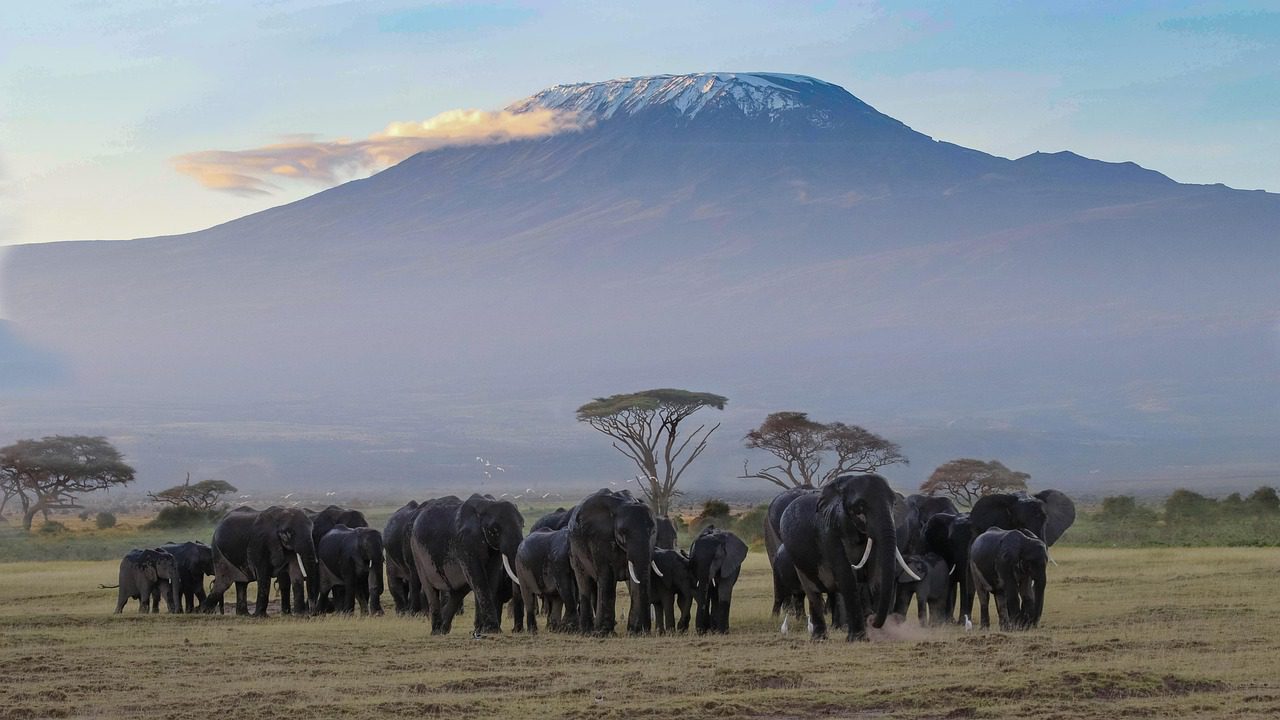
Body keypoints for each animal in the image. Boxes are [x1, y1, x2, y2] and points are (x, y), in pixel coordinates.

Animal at [409, 494, 524, 634]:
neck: (486, 506)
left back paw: (444, 629)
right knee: (430, 588)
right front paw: (492, 630)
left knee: (458, 591)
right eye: (494, 530)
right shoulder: (465, 542)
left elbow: (491, 577)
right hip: (417, 552)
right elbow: (479, 578)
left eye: (523, 524)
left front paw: (481, 630)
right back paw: (436, 631)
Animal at [567, 488, 657, 635]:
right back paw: (587, 631)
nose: (645, 630)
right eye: (623, 532)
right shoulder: (599, 537)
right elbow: (607, 576)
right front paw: (603, 632)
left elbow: (635, 580)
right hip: (574, 550)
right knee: (584, 581)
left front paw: (636, 632)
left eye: (653, 531)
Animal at [778, 474, 918, 640]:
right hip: (798, 562)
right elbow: (847, 576)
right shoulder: (828, 532)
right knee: (812, 592)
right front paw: (858, 639)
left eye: (893, 503)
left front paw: (881, 636)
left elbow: (876, 577)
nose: (872, 620)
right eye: (859, 508)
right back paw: (819, 639)